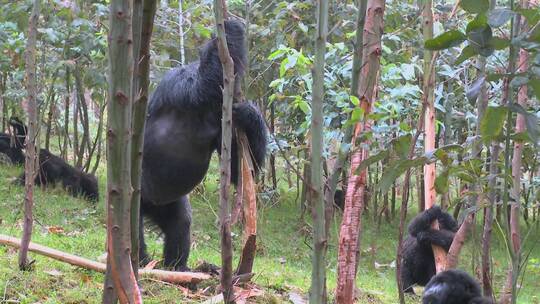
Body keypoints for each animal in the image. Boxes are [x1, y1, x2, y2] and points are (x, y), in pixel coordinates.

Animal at [138, 19, 266, 270]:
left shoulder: (226, 129)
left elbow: (240, 171)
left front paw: (250, 115)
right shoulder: (183, 82)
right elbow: (205, 81)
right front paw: (230, 28)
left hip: (166, 204)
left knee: (180, 221)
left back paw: (177, 267)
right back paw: (138, 260)